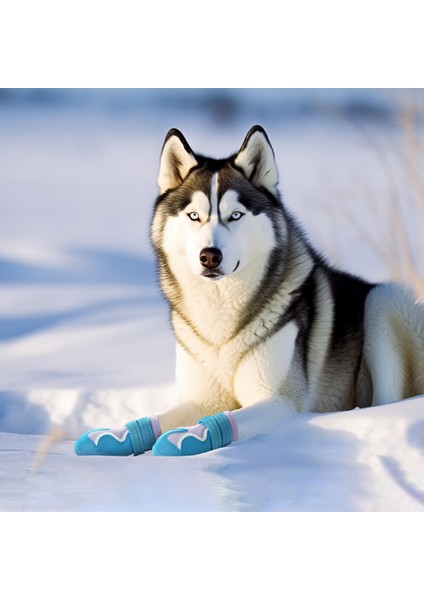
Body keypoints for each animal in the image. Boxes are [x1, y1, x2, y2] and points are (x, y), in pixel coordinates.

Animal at [75, 124, 424, 458]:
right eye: (194, 216)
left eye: (235, 215)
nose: (209, 256)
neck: (221, 323)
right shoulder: (201, 398)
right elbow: (156, 419)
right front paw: (113, 436)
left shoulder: (277, 400)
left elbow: (225, 422)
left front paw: (185, 439)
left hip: (384, 301)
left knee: (387, 396)